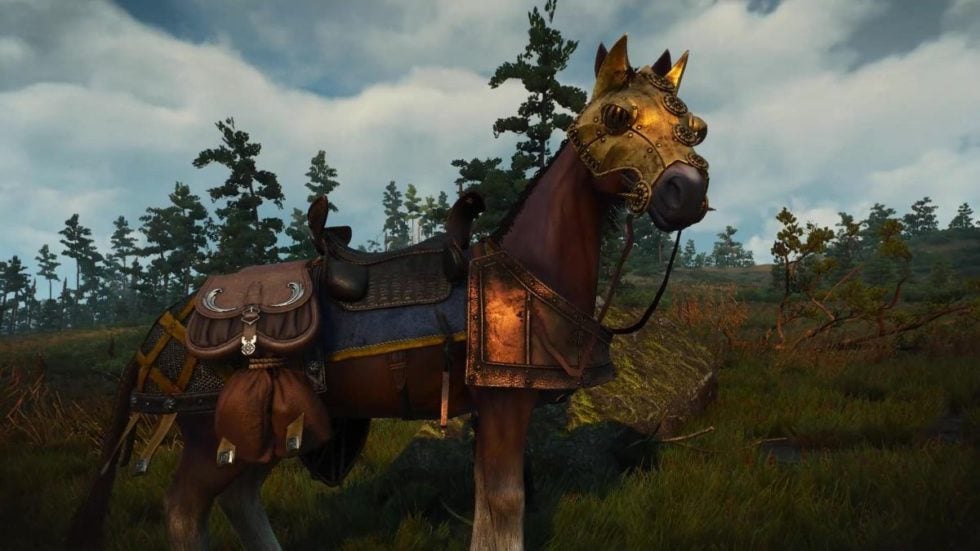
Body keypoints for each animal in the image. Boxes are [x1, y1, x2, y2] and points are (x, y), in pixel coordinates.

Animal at [69, 36, 711, 550]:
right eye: (618, 116)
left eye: (694, 128)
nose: (686, 194)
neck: (530, 264)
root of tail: (165, 323)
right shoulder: (505, 404)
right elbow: (505, 503)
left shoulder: (496, 409)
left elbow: (490, 500)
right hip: (208, 435)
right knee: (185, 508)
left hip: (260, 434)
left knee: (240, 498)